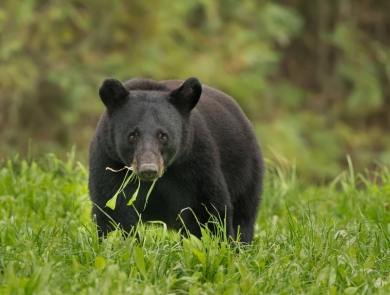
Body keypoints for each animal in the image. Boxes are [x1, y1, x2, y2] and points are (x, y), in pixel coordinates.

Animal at [90, 77, 264, 245]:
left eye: (163, 136)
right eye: (132, 135)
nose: (148, 169)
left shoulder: (196, 163)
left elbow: (208, 210)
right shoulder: (109, 162)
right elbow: (114, 211)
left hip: (246, 172)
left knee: (244, 217)